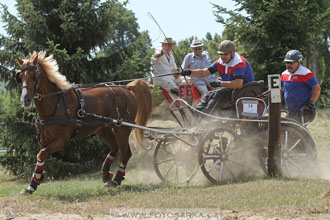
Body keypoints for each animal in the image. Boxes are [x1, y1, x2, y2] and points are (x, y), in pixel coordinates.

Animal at [16, 51, 153, 194]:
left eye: (34, 75)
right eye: (20, 76)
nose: (25, 99)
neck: (55, 102)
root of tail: (127, 88)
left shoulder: (63, 140)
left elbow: (41, 153)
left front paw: (37, 179)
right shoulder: (44, 140)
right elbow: (41, 156)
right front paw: (32, 185)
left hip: (122, 128)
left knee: (126, 152)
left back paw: (117, 179)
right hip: (102, 128)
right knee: (114, 147)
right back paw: (106, 174)